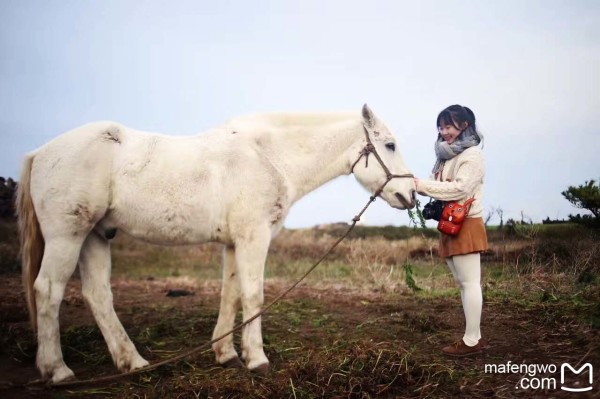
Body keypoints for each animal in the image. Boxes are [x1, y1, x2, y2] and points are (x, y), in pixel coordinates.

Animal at [16, 104, 414, 384]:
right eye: (390, 145)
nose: (409, 194)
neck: (268, 156)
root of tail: (41, 152)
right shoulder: (254, 236)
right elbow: (253, 296)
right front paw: (257, 359)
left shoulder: (234, 243)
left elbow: (231, 294)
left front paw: (226, 353)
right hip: (67, 236)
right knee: (47, 290)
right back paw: (58, 370)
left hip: (95, 236)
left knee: (98, 296)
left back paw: (133, 363)